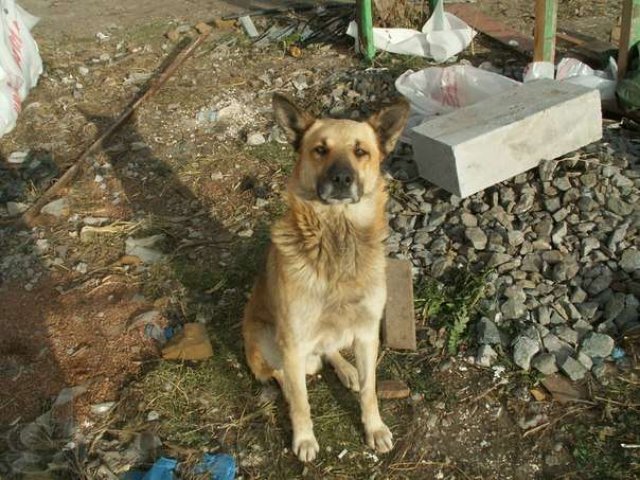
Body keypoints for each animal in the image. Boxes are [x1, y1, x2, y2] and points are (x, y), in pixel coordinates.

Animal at [240, 91, 410, 462]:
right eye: (320, 149)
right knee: (282, 377)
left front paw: (374, 428)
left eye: (361, 151)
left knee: (332, 351)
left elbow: (370, 390)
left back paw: (346, 369)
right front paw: (304, 438)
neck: (336, 236)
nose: (342, 179)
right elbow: (301, 402)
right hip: (264, 339)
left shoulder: (366, 333)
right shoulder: (291, 341)